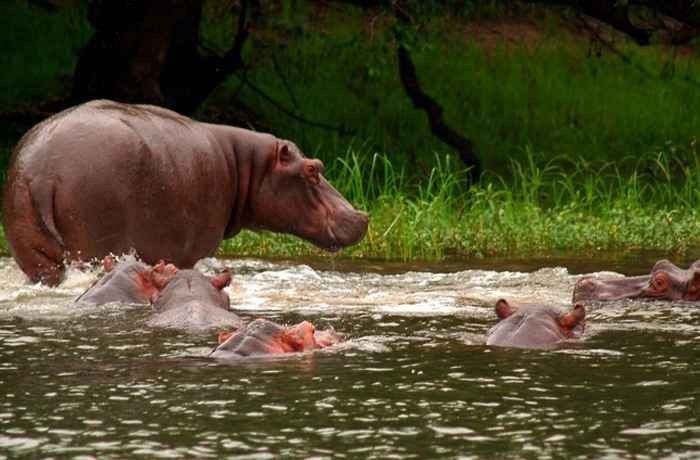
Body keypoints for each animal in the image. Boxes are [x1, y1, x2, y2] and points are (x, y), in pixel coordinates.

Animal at [4, 100, 366, 284]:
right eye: (313, 169)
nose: (362, 215)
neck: (243, 163)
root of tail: (42, 174)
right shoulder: (196, 249)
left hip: (34, 249)